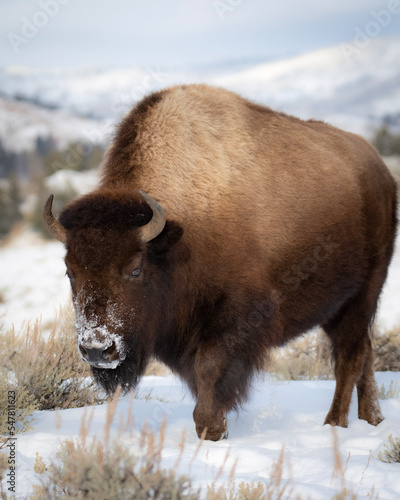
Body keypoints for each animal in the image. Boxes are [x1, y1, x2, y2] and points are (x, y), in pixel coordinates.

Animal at [43, 84, 396, 440]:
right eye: (70, 272)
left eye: (135, 269)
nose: (97, 350)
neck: (180, 231)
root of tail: (381, 172)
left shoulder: (233, 318)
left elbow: (210, 368)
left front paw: (211, 428)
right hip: (339, 307)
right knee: (364, 353)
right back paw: (372, 419)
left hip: (363, 294)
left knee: (350, 357)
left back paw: (334, 423)